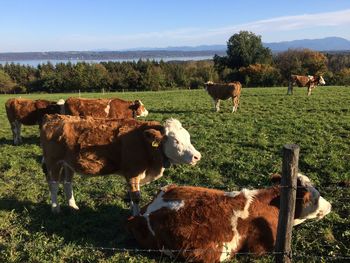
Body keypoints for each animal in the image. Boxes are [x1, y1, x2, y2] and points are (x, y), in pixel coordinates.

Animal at [39, 115, 201, 217]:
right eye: (176, 141)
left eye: (188, 137)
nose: (197, 156)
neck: (144, 142)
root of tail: (52, 117)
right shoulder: (133, 173)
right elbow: (136, 196)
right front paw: (136, 216)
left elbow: (131, 195)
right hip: (53, 162)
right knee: (53, 185)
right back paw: (56, 209)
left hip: (68, 165)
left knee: (67, 183)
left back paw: (73, 206)